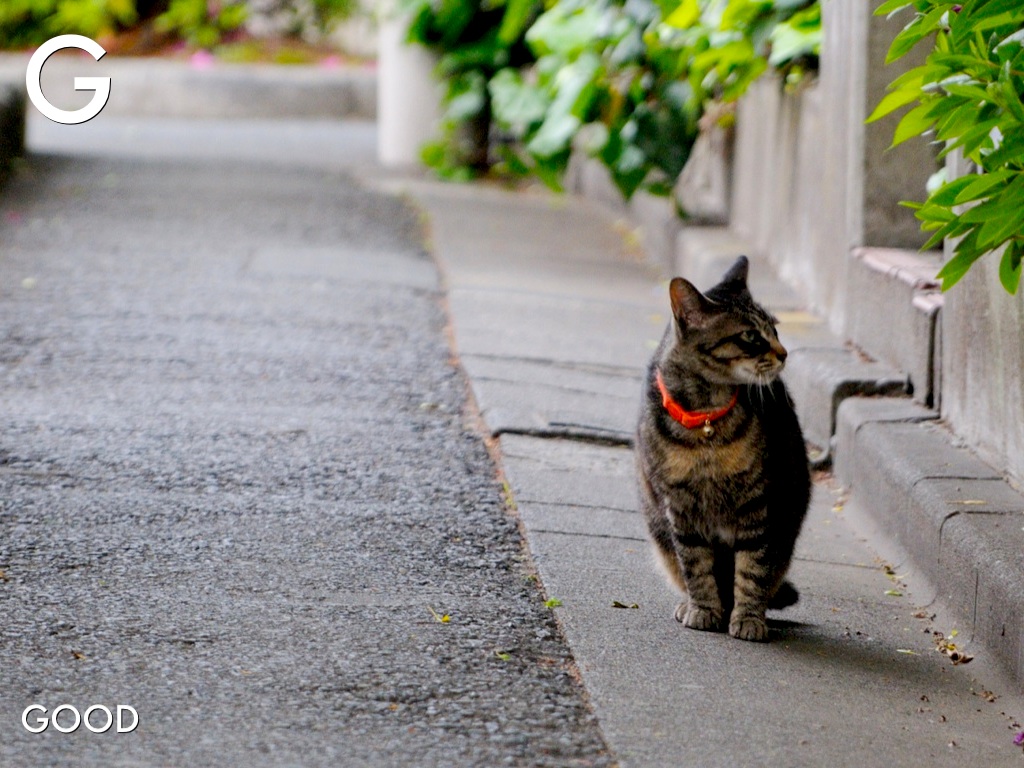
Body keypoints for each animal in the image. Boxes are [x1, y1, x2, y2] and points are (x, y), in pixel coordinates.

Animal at [635, 255, 810, 642]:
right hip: (659, 531)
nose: (784, 354)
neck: (706, 420)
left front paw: (748, 619)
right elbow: (696, 569)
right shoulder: (680, 509)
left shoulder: (758, 505)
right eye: (751, 336)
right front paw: (703, 610)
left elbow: (752, 569)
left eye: (775, 330)